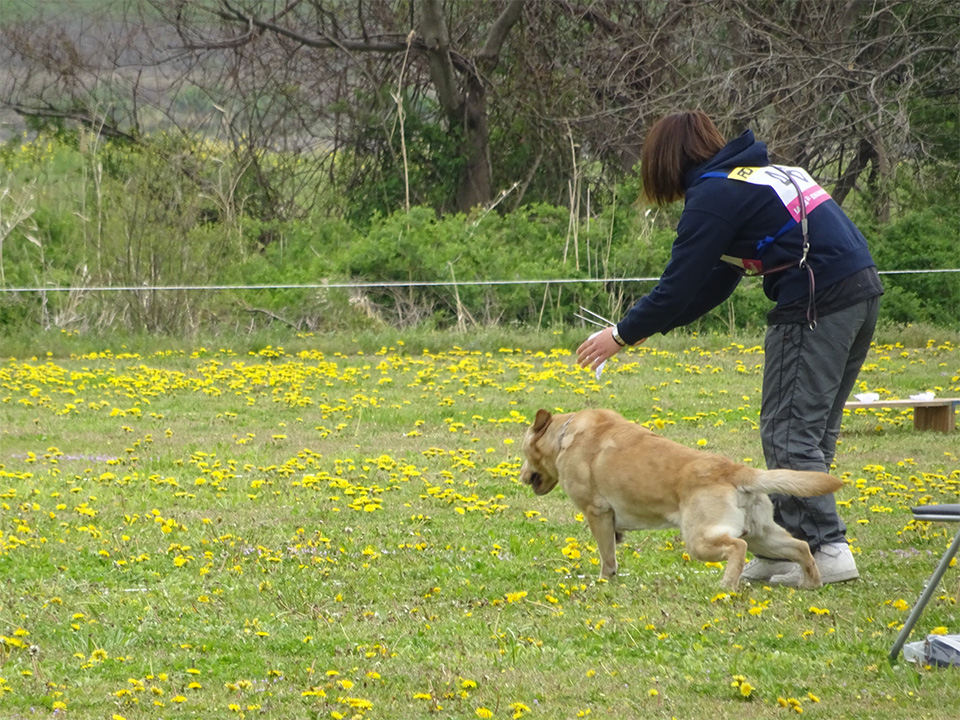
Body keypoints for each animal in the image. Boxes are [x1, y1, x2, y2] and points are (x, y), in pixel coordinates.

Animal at [520, 408, 844, 588]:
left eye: (524, 453)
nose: (522, 476)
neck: (565, 434)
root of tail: (736, 470)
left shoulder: (596, 512)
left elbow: (607, 556)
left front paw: (604, 579)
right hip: (762, 536)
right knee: (801, 546)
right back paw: (810, 583)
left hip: (701, 539)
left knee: (736, 548)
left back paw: (726, 585)